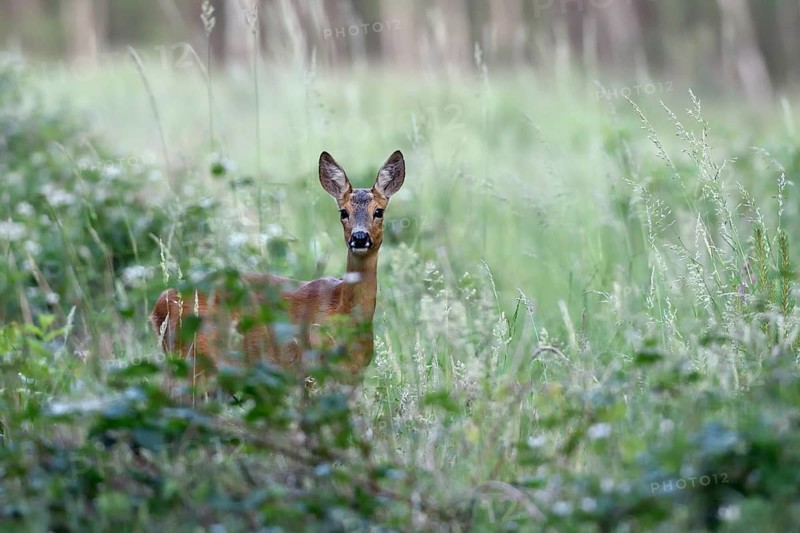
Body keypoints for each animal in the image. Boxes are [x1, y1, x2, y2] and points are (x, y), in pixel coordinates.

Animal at [150, 150, 406, 382]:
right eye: (343, 212)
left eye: (379, 211)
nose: (359, 238)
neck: (343, 313)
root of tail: (160, 304)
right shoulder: (311, 371)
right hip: (194, 362)